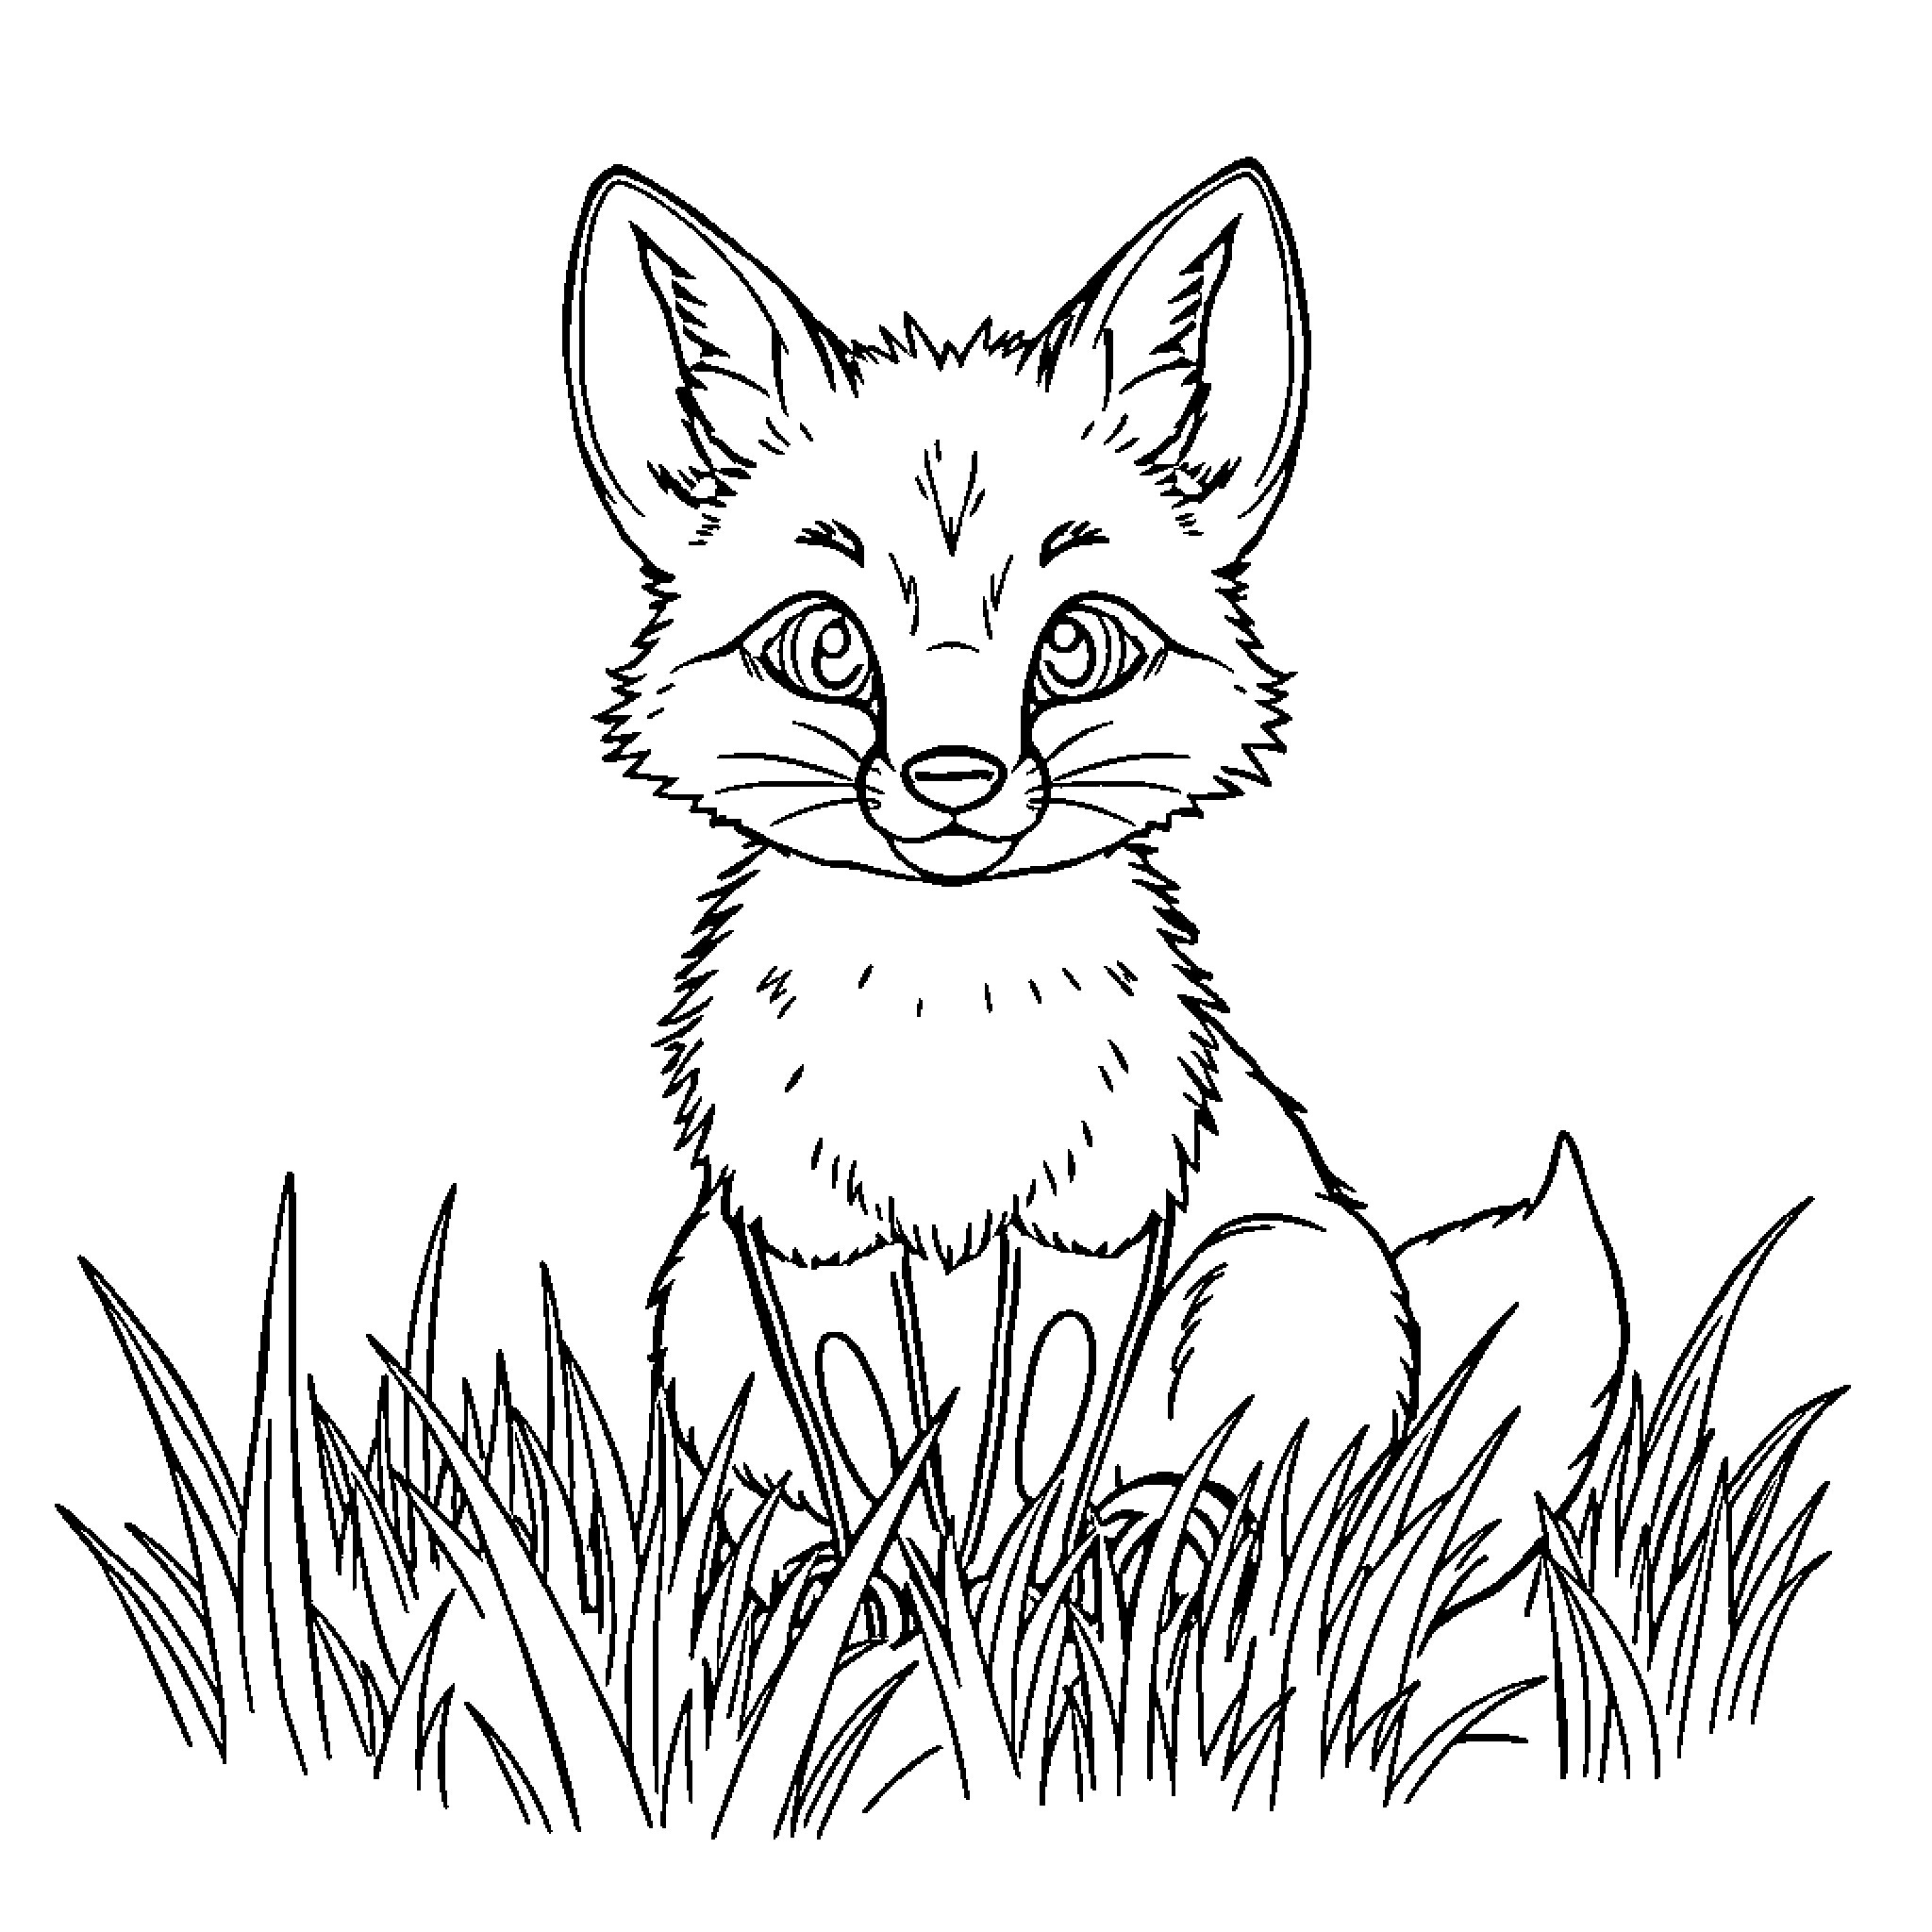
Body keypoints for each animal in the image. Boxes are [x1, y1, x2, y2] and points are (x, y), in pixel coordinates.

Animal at [562, 159, 1628, 1599]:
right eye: (828, 650)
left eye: (1075, 650)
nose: (954, 782)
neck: (943, 1036)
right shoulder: (806, 1236)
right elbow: (877, 1453)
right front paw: (897, 1599)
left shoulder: (1097, 1221)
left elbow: (1039, 1451)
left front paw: (1020, 1598)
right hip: (703, 1304)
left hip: (1268, 1278)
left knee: (1266, 1501)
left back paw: (1170, 1556)